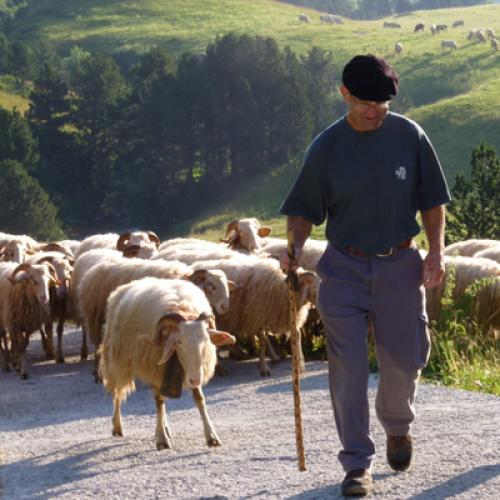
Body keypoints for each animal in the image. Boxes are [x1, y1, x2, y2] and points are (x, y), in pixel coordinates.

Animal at [78, 258, 234, 382]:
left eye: (226, 286)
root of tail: (93, 269)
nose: (225, 307)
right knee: (97, 344)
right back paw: (98, 374)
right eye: (211, 285)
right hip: (94, 318)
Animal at [100, 278, 237, 450]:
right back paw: (117, 426)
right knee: (118, 393)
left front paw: (211, 436)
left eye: (206, 339)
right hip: (118, 360)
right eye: (179, 341)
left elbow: (199, 399)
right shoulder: (156, 369)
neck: (182, 309)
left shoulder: (191, 369)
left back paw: (164, 427)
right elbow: (159, 402)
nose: (195, 379)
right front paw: (162, 439)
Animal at [189, 256, 318, 376]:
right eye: (315, 287)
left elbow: (297, 336)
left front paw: (299, 365)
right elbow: (262, 342)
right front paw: (264, 369)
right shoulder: (258, 316)